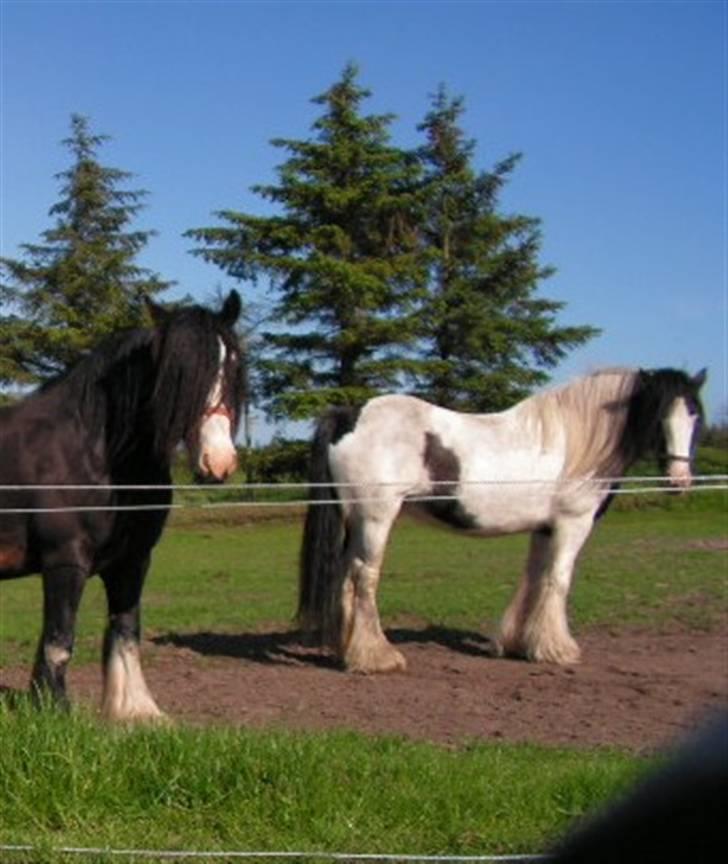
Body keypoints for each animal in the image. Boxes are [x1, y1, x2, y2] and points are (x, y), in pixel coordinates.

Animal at [0, 292, 245, 724]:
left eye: (231, 365)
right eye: (174, 375)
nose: (217, 462)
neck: (92, 451)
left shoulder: (133, 561)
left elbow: (126, 629)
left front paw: (137, 711)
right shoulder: (66, 560)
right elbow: (59, 638)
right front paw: (55, 711)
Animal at [298, 368, 704, 672]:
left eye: (694, 415)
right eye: (658, 415)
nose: (679, 481)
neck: (577, 441)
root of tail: (349, 416)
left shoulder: (544, 529)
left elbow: (535, 579)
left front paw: (519, 643)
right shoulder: (572, 524)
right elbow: (558, 580)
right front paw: (557, 649)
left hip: (354, 522)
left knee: (345, 578)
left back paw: (347, 650)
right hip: (375, 518)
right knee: (364, 577)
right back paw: (378, 657)